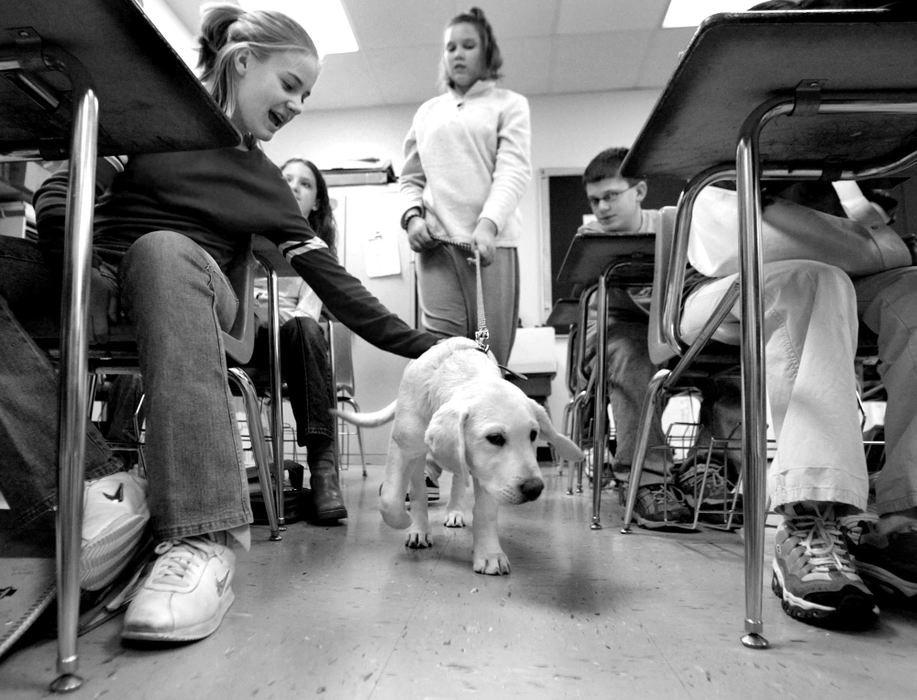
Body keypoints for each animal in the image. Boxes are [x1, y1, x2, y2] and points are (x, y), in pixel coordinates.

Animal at [334, 338, 580, 576]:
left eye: (533, 434)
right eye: (495, 438)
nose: (534, 488)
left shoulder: (487, 476)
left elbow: (485, 512)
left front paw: (490, 554)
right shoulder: (402, 449)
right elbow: (391, 500)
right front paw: (408, 522)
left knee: (458, 480)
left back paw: (454, 512)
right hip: (420, 454)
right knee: (419, 487)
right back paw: (420, 528)